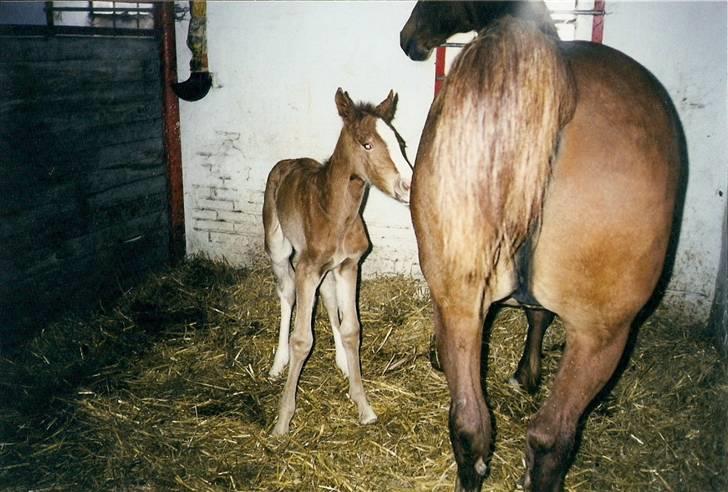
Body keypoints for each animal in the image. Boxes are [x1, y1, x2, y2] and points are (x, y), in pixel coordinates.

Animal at [264, 88, 412, 434]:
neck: (335, 214)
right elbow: (302, 339)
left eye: (400, 142)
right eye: (366, 143)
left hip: (328, 271)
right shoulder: (307, 269)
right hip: (278, 248)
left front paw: (364, 406)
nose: (408, 185)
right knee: (286, 294)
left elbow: (352, 329)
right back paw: (278, 364)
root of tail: (286, 161)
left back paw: (343, 363)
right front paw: (282, 421)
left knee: (329, 299)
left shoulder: (348, 266)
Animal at [400, 1, 680, 490]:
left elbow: (535, 313)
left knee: (470, 426)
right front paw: (528, 375)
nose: (408, 39)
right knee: (550, 440)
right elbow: (539, 316)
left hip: (458, 304)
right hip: (600, 337)